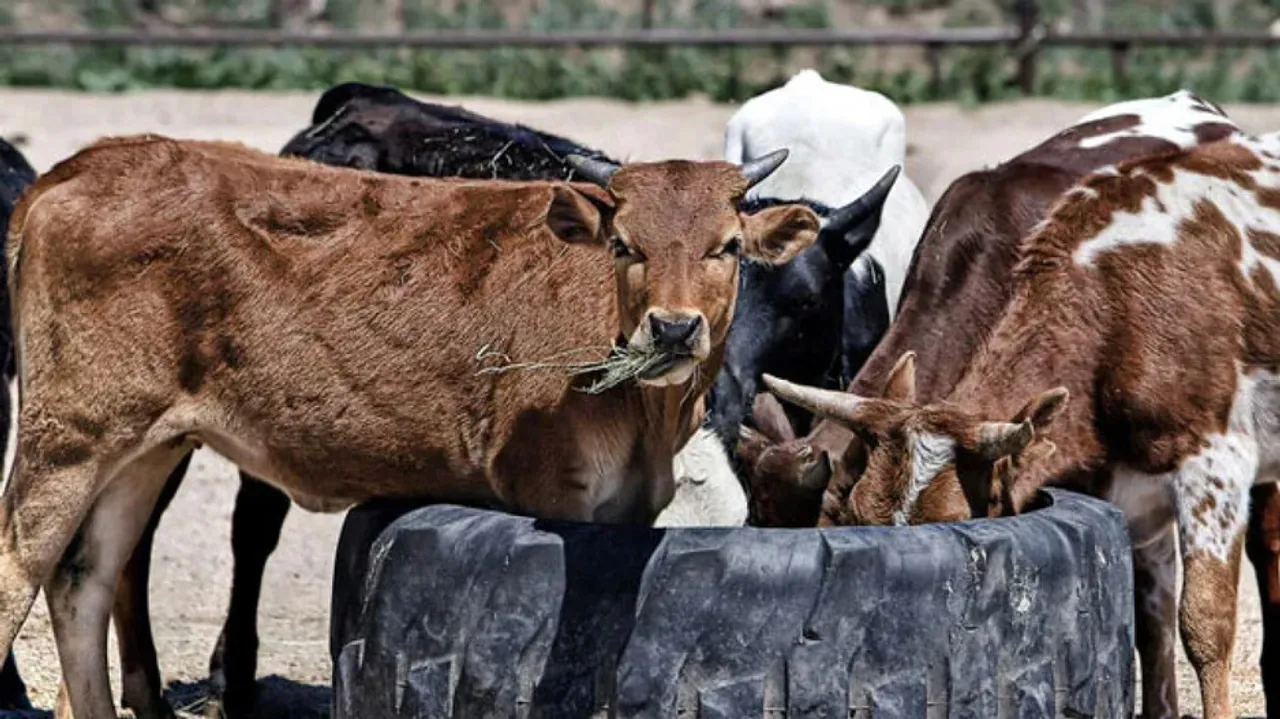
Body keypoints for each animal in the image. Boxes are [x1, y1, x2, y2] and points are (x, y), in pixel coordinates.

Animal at [0, 134, 897, 718]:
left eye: (728, 245)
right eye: (623, 243)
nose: (672, 329)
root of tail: (82, 166)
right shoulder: (552, 491)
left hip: (142, 448)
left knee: (85, 580)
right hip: (67, 438)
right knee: (20, 569)